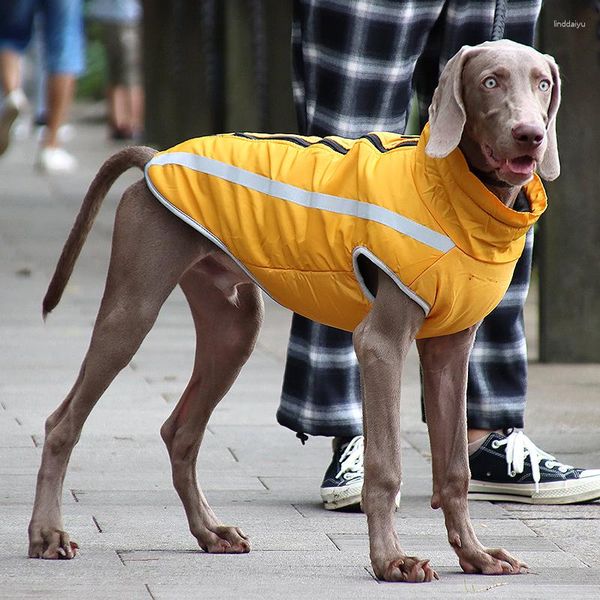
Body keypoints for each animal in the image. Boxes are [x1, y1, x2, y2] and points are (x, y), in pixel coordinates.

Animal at [29, 41, 564, 580]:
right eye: (490, 81)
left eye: (542, 84)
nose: (530, 135)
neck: (455, 193)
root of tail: (155, 157)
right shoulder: (380, 345)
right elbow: (385, 468)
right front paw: (391, 559)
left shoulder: (450, 354)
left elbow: (455, 468)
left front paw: (475, 555)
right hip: (132, 310)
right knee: (63, 422)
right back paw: (48, 535)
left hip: (234, 328)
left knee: (180, 431)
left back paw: (211, 532)